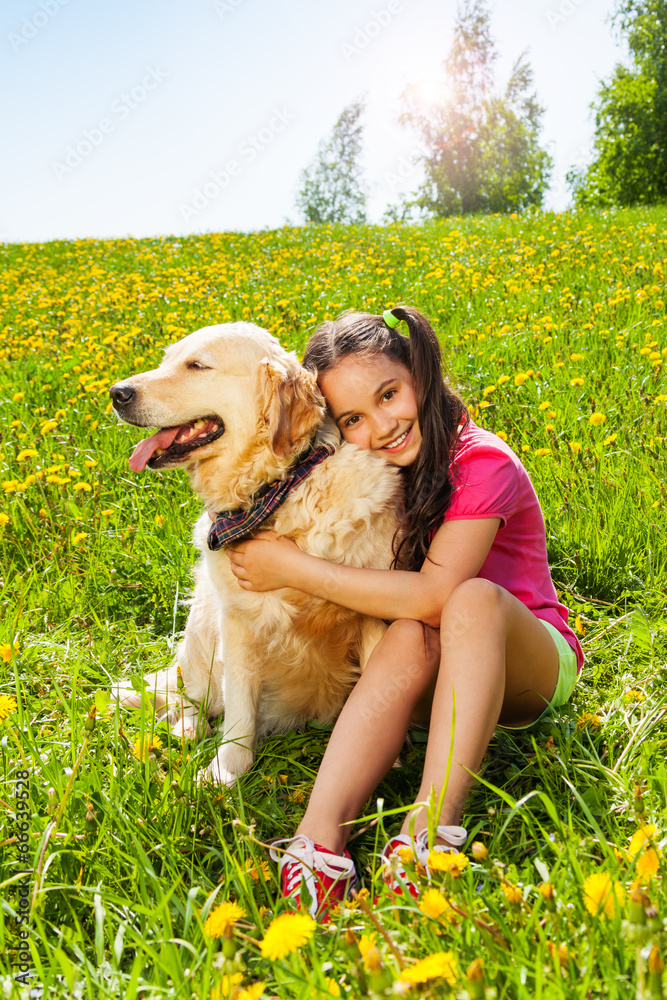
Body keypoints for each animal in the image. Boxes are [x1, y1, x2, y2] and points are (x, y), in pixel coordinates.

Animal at [111, 324, 402, 784]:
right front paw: (227, 771)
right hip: (204, 614)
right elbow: (238, 709)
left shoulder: (375, 608)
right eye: (166, 360)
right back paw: (186, 727)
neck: (280, 490)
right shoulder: (237, 618)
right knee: (194, 694)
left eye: (197, 365)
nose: (116, 393)